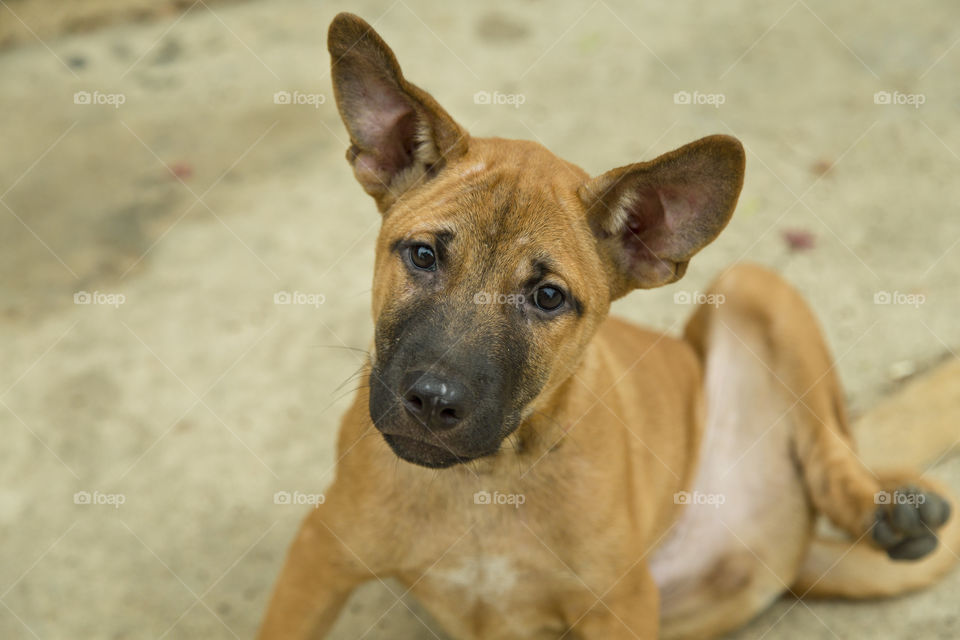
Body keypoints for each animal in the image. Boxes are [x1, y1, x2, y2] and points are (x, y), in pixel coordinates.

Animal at [256, 12, 960, 636]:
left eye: (547, 297)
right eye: (423, 256)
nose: (432, 401)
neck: (483, 483)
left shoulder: (618, 606)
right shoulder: (319, 555)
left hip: (752, 286)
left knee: (830, 444)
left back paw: (887, 511)